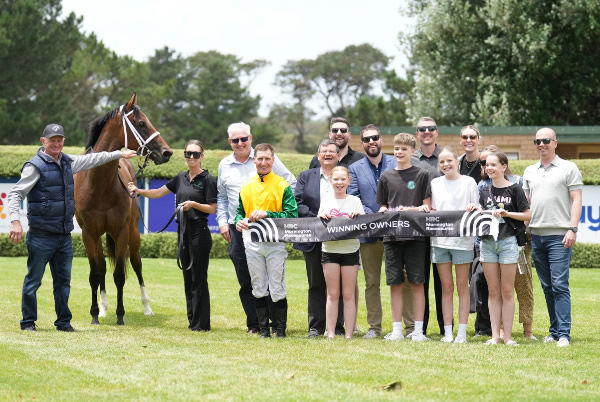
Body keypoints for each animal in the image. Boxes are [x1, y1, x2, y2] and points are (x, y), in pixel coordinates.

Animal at [74, 94, 172, 326]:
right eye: (142, 123)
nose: (167, 152)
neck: (99, 185)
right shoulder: (89, 234)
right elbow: (96, 273)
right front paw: (95, 313)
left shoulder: (121, 232)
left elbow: (119, 275)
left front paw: (120, 315)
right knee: (102, 268)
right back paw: (103, 308)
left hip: (134, 234)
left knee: (137, 264)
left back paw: (147, 307)